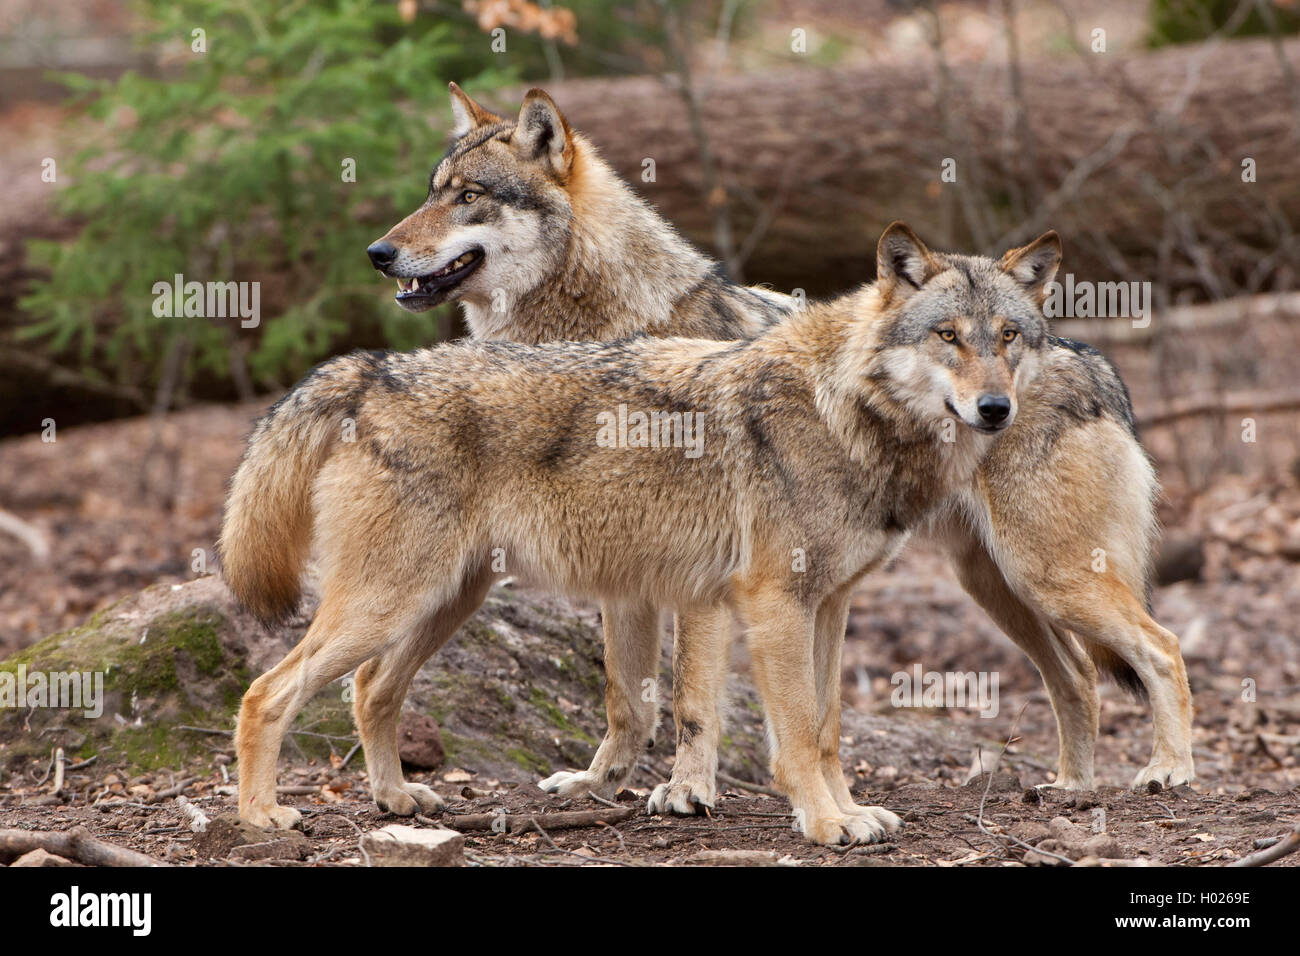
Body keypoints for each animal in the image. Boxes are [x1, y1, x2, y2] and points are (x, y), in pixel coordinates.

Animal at [223, 221, 1057, 845]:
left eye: (1009, 337)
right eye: (948, 335)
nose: (995, 409)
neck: (847, 409)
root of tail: (376, 371)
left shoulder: (831, 605)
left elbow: (826, 728)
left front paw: (850, 812)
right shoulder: (774, 605)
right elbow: (793, 737)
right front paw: (824, 824)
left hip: (441, 603)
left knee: (369, 690)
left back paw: (396, 801)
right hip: (390, 603)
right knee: (266, 693)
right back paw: (262, 815)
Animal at [362, 85, 1195, 815]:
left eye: (469, 196)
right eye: (433, 191)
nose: (378, 252)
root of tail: (1091, 359)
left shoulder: (701, 578)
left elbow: (691, 700)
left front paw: (686, 793)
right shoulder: (630, 569)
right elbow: (626, 697)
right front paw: (599, 785)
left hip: (1048, 575)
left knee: (1161, 649)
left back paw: (1169, 772)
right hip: (1000, 585)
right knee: (1079, 676)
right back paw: (1072, 786)